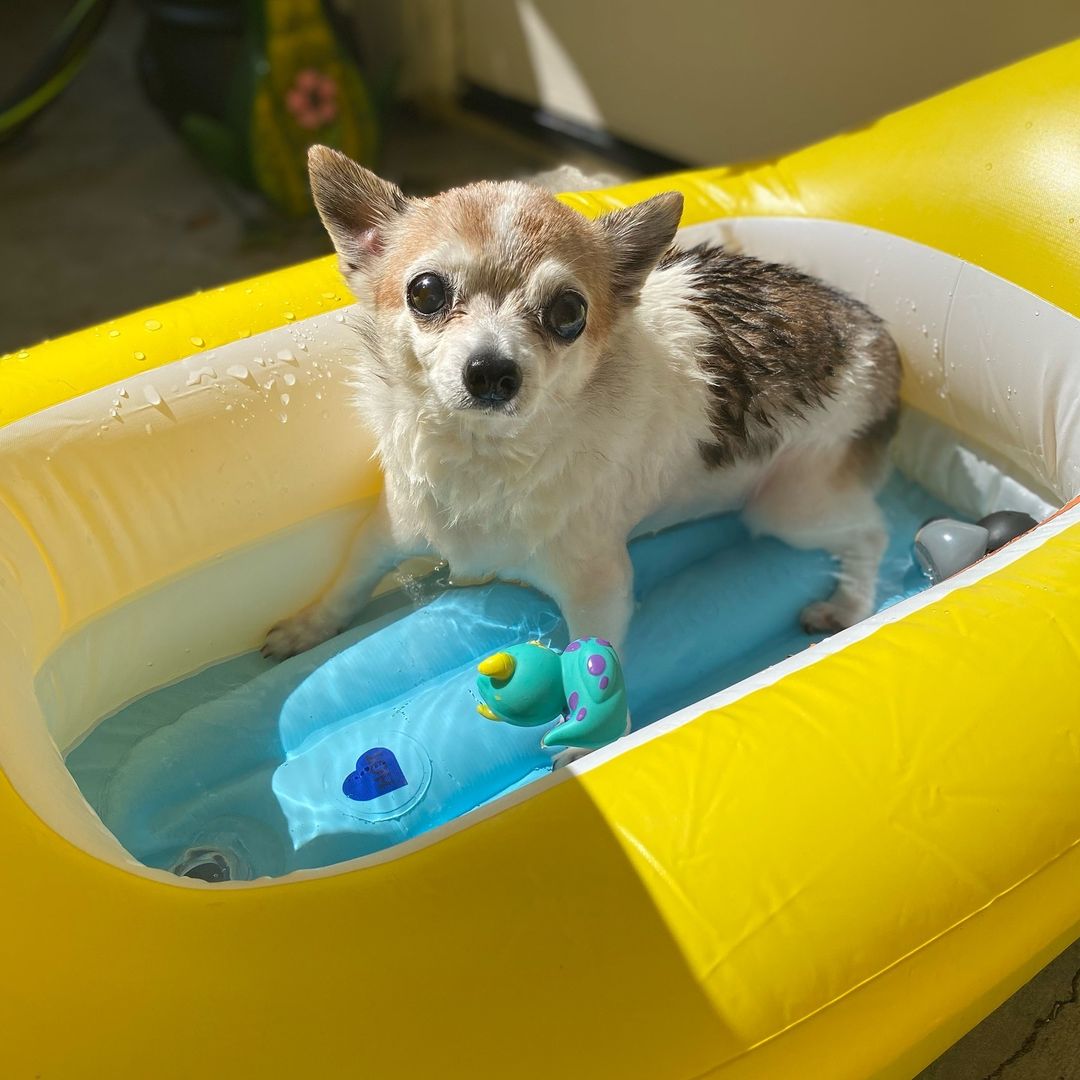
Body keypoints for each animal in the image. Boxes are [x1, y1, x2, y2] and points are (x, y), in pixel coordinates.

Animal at [263, 150, 902, 673]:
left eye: (568, 312)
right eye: (425, 292)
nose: (492, 370)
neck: (485, 454)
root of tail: (874, 333)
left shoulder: (600, 589)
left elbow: (599, 661)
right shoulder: (389, 528)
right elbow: (349, 580)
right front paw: (307, 626)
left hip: (788, 504)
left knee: (870, 532)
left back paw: (848, 604)